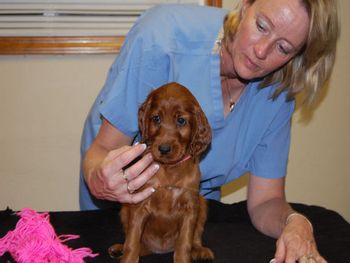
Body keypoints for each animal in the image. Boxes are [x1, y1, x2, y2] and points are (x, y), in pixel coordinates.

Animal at [109, 82, 213, 263]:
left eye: (181, 120)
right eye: (156, 118)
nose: (163, 149)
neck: (169, 168)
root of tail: (158, 250)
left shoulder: (190, 206)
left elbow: (184, 243)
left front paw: (183, 259)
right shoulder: (139, 204)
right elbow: (132, 241)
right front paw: (128, 258)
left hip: (202, 205)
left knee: (195, 238)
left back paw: (200, 251)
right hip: (125, 208)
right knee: (138, 245)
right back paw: (119, 249)